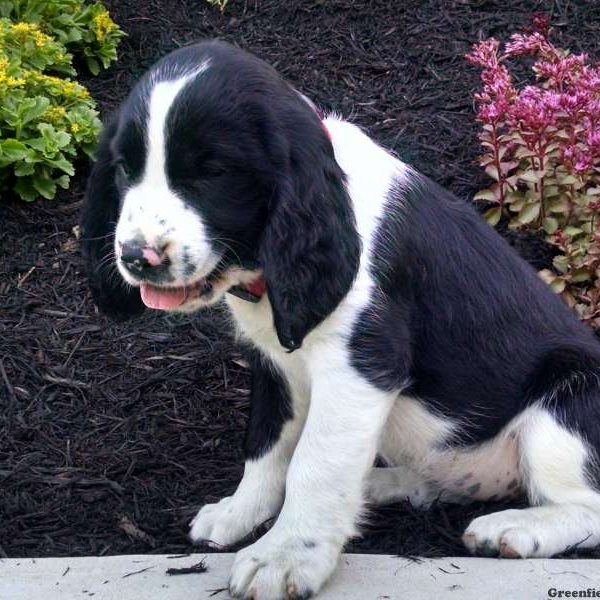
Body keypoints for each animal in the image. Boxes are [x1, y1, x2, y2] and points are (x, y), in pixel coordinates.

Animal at [82, 41, 600, 600]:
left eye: (213, 171)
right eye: (123, 169)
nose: (137, 258)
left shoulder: (360, 368)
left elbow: (316, 464)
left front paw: (285, 557)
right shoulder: (275, 363)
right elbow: (266, 443)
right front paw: (240, 513)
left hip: (569, 396)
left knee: (585, 506)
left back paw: (516, 527)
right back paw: (382, 485)